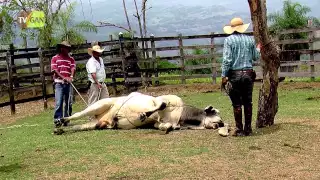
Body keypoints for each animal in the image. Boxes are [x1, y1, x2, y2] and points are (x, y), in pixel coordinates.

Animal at [55, 92, 230, 136]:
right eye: (218, 118)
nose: (220, 125)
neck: (180, 114)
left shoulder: (159, 123)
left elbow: (165, 126)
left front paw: (168, 128)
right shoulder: (162, 99)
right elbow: (160, 105)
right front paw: (142, 115)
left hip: (95, 124)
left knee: (78, 126)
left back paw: (60, 129)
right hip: (99, 105)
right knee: (77, 114)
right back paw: (61, 120)